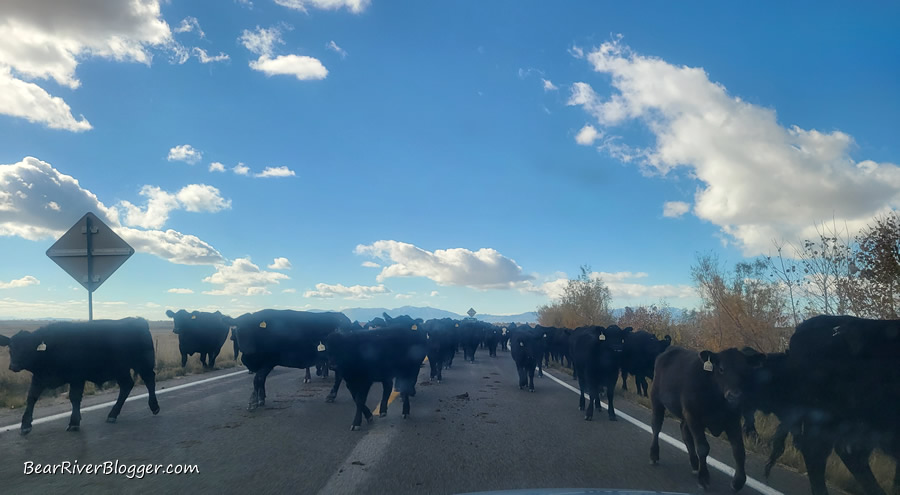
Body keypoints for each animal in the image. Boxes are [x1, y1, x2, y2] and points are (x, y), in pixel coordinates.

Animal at [0, 320, 160, 436]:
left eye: (28, 347)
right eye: (10, 348)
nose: (13, 365)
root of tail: (138, 320)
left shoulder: (77, 377)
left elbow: (74, 398)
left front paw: (74, 422)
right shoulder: (39, 378)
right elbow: (31, 398)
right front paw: (25, 425)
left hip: (143, 364)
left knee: (149, 380)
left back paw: (154, 407)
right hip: (121, 370)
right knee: (127, 386)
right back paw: (112, 414)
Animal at [648, 346, 760, 494]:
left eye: (745, 371)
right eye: (721, 369)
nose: (734, 395)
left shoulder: (733, 421)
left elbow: (739, 450)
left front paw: (738, 482)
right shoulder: (694, 416)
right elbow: (703, 447)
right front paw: (704, 478)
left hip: (684, 415)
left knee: (684, 431)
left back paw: (695, 464)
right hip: (656, 400)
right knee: (656, 426)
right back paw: (654, 455)